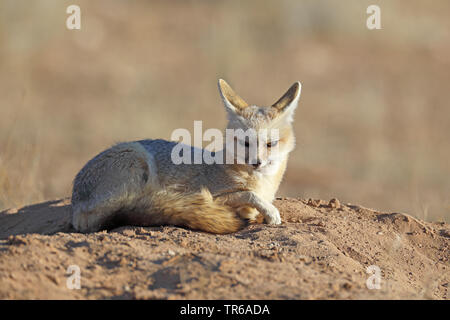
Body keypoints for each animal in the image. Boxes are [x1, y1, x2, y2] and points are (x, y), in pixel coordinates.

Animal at [71, 79, 302, 234]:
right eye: (245, 143)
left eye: (270, 144)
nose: (257, 162)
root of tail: (75, 199)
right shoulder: (213, 194)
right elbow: (248, 194)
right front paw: (269, 212)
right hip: (138, 157)